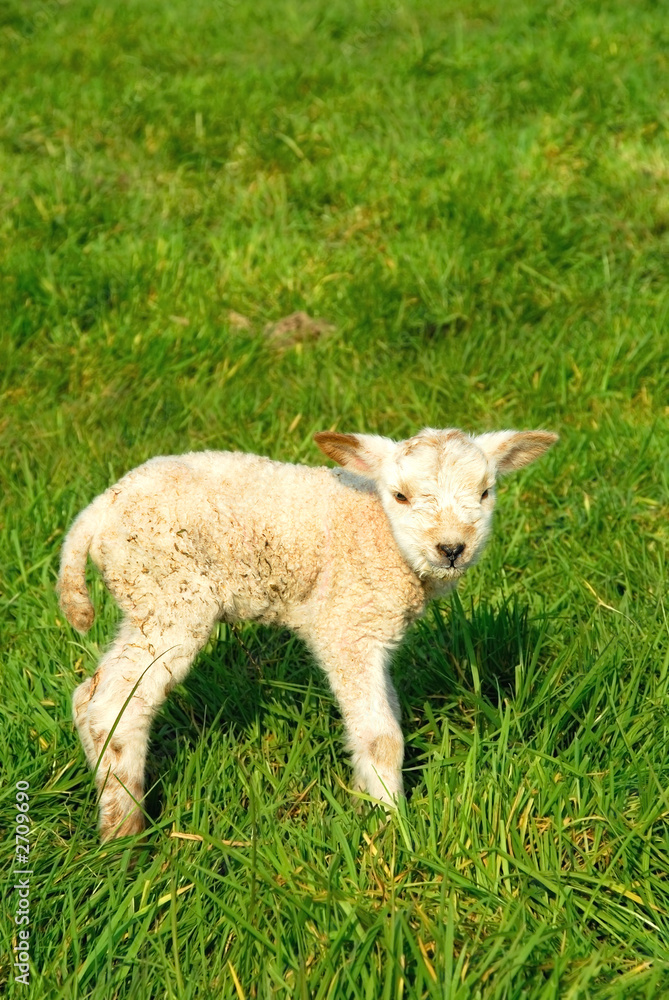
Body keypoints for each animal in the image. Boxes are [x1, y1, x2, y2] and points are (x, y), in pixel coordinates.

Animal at [58, 427, 557, 841]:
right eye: (399, 496)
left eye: (485, 492)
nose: (451, 549)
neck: (379, 531)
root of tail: (98, 511)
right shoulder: (347, 626)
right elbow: (383, 738)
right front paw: (391, 826)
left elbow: (376, 721)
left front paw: (367, 802)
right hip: (170, 592)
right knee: (115, 706)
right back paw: (124, 833)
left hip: (144, 600)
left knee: (89, 696)